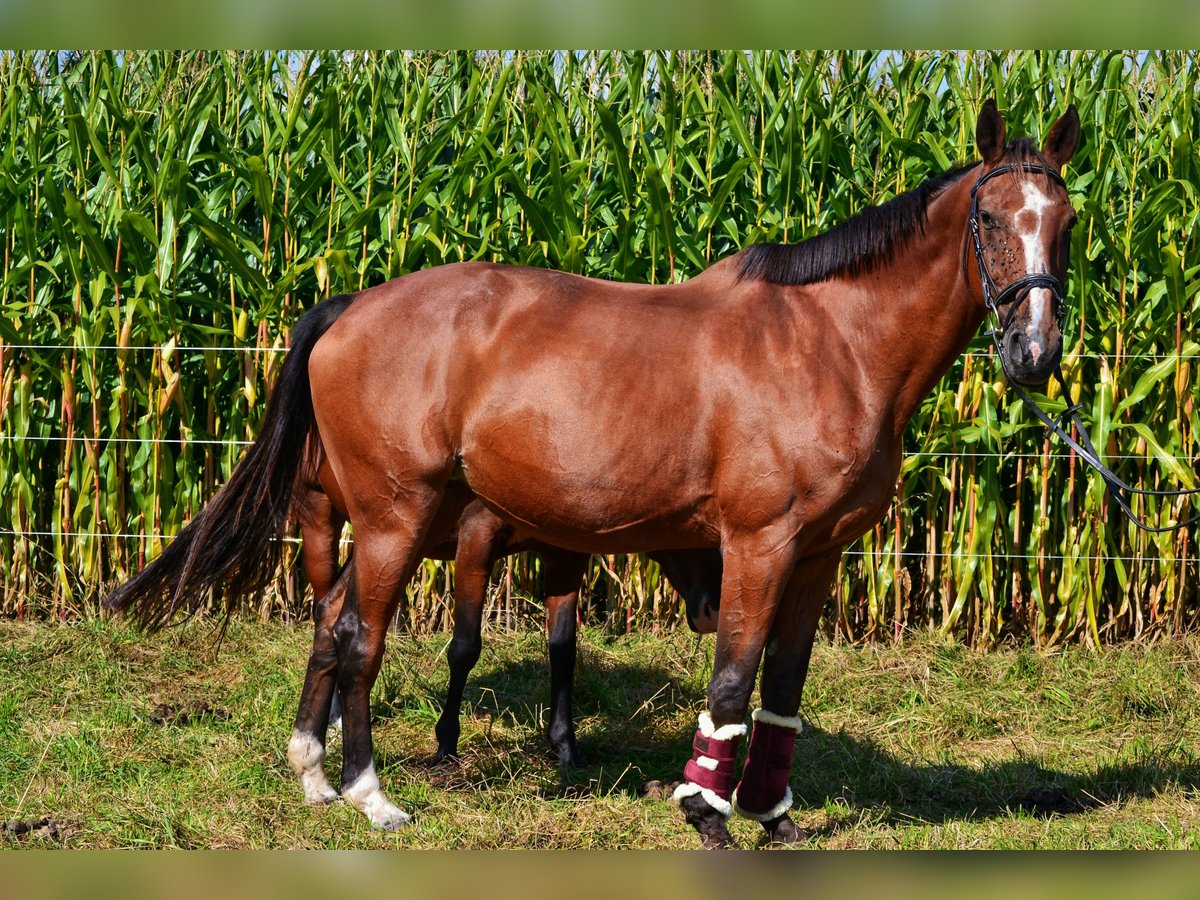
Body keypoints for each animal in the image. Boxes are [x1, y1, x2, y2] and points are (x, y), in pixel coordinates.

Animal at [110, 102, 1080, 849]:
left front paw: (773, 817)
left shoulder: (818, 557)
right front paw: (708, 814)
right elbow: (733, 679)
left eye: (1066, 223)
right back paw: (369, 793)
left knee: (330, 620)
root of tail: (351, 307)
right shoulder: (758, 544)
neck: (831, 342)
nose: (1034, 355)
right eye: (989, 220)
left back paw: (312, 772)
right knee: (358, 637)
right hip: (394, 517)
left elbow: (783, 690)